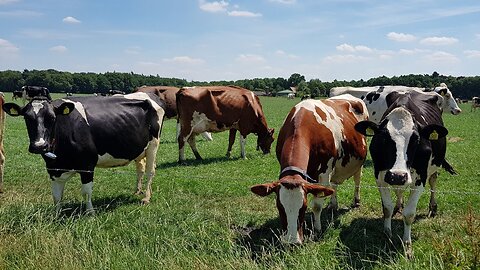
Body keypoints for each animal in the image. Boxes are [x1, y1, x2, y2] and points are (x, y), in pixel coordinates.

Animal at [2, 92, 166, 213]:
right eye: (27, 118)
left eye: (52, 118)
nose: (39, 146)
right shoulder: (53, 168)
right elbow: (56, 196)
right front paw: (56, 215)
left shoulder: (87, 165)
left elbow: (86, 191)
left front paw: (90, 213)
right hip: (140, 148)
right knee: (140, 168)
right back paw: (137, 191)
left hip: (153, 145)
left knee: (150, 170)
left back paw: (146, 197)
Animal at [251, 95, 368, 245]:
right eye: (279, 207)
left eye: (304, 207)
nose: (292, 242)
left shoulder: (324, 172)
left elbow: (317, 205)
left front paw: (317, 229)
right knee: (334, 185)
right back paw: (333, 204)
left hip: (359, 161)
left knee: (357, 180)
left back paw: (356, 201)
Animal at [354, 90, 448, 258]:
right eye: (383, 138)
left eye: (416, 138)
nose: (397, 176)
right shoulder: (380, 175)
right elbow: (387, 208)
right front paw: (387, 234)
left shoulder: (420, 178)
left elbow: (409, 213)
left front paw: (407, 245)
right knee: (399, 191)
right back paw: (399, 204)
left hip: (433, 167)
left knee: (433, 181)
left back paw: (432, 207)